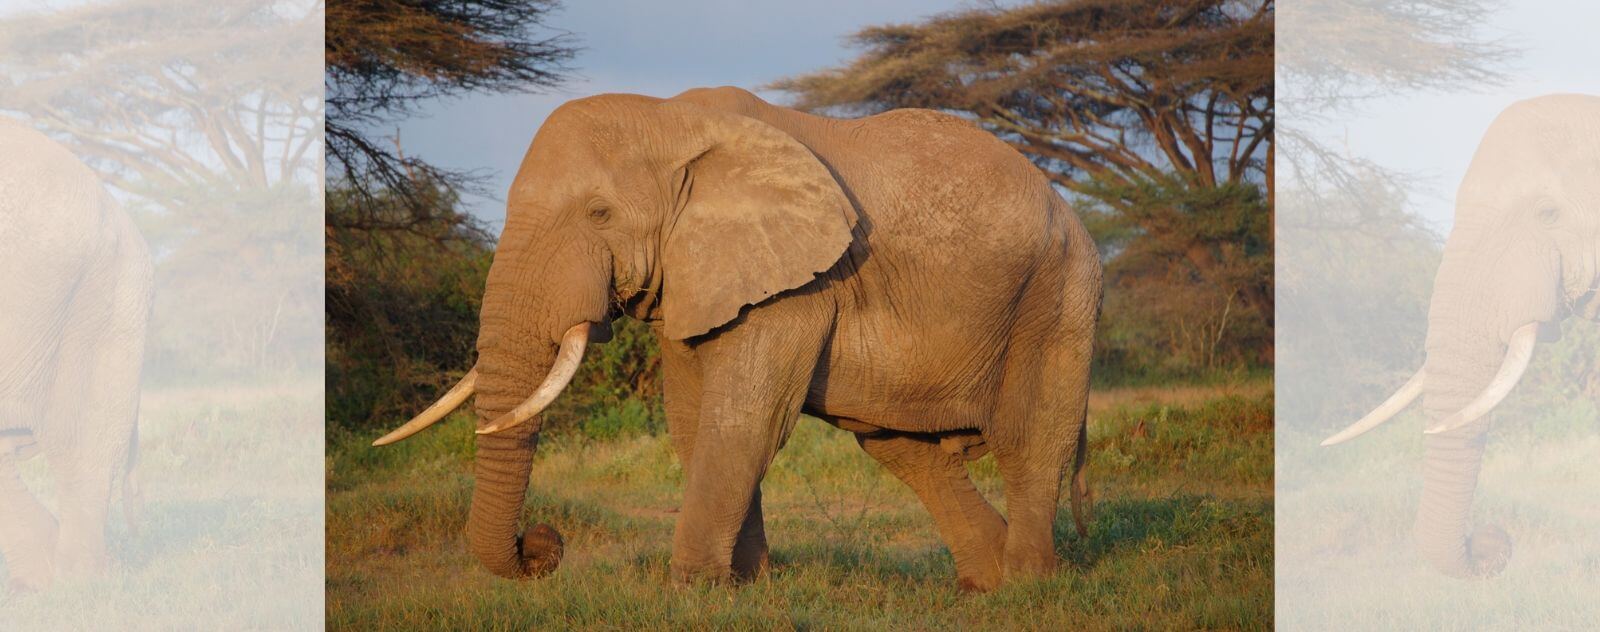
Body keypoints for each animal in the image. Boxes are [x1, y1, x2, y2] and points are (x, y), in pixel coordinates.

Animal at [372, 86, 1100, 592]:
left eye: (599, 214)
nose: (542, 545)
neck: (672, 119)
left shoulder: (799, 284)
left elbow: (743, 419)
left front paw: (692, 591)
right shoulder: (695, 278)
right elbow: (695, 421)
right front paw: (744, 589)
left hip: (1058, 293)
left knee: (1031, 437)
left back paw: (1028, 586)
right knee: (906, 450)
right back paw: (986, 581)